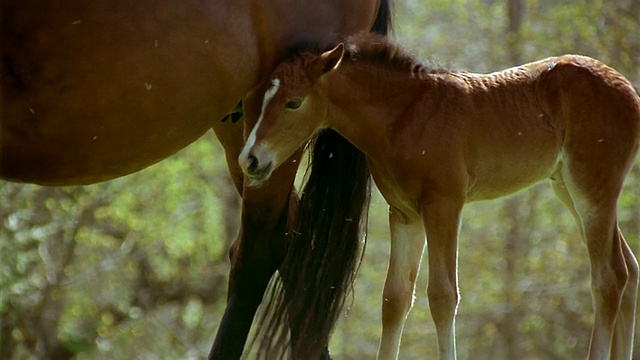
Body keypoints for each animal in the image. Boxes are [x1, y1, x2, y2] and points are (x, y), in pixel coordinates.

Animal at [238, 32, 636, 358]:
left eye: (293, 102)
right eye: (262, 96)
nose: (250, 159)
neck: (405, 117)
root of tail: (630, 90)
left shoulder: (444, 204)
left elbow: (443, 296)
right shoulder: (404, 214)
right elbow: (394, 297)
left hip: (592, 189)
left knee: (609, 277)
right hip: (570, 188)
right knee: (629, 268)